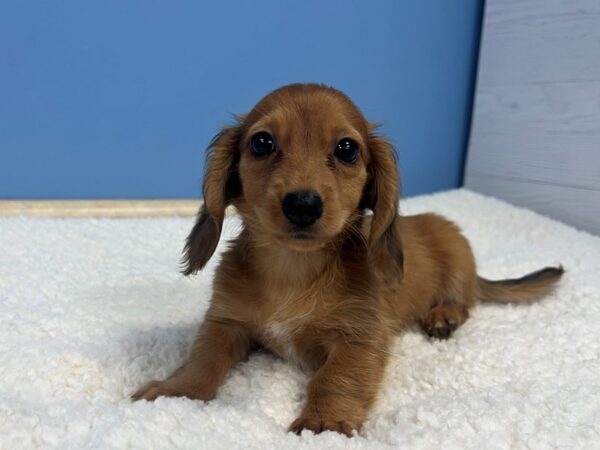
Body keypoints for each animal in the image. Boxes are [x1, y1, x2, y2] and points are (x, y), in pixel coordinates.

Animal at [131, 83, 564, 436]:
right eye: (262, 143)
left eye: (347, 149)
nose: (303, 205)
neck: (294, 270)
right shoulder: (226, 321)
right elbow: (203, 358)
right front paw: (175, 392)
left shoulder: (361, 335)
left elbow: (335, 377)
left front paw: (324, 422)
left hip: (457, 251)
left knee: (465, 298)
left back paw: (445, 315)